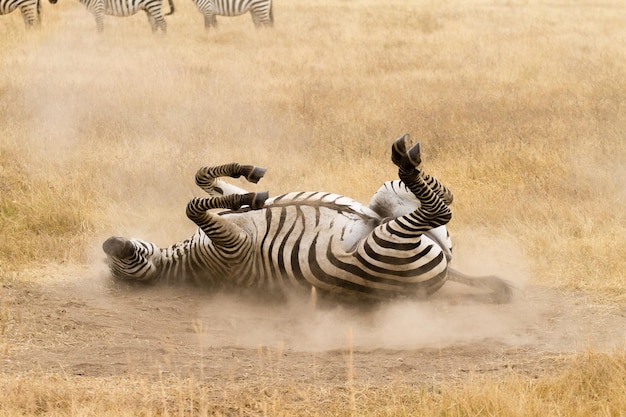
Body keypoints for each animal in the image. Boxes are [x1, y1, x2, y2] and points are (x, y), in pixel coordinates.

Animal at [102, 135, 512, 304]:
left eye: (124, 259)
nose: (110, 243)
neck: (186, 259)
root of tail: (444, 275)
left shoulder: (228, 227)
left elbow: (202, 178)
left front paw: (248, 178)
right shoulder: (233, 247)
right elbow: (192, 204)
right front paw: (249, 194)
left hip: (387, 199)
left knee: (444, 199)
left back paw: (409, 157)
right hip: (387, 245)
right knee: (439, 208)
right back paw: (405, 157)